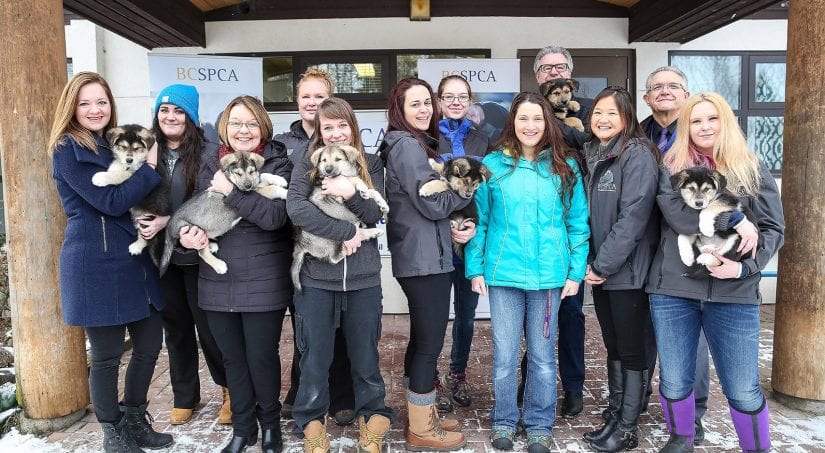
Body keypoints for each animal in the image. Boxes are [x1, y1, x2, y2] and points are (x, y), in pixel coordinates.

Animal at [92, 124, 170, 264]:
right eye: (123, 147)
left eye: (137, 148)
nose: (129, 160)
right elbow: (116, 169)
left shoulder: (133, 173)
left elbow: (119, 174)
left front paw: (100, 178)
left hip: (147, 218)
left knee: (146, 237)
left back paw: (136, 247)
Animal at [159, 150, 290, 274]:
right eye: (238, 173)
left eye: (251, 171)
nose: (247, 186)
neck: (232, 180)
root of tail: (169, 226)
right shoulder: (248, 192)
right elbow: (270, 189)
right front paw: (285, 192)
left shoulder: (253, 185)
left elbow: (262, 176)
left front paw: (280, 180)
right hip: (193, 229)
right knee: (201, 252)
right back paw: (219, 265)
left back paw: (211, 246)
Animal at [292, 145, 390, 294]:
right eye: (324, 160)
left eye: (338, 159)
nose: (328, 170)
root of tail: (301, 244)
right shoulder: (333, 192)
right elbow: (352, 180)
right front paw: (361, 187)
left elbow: (373, 191)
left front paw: (383, 204)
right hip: (330, 240)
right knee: (335, 256)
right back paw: (369, 233)